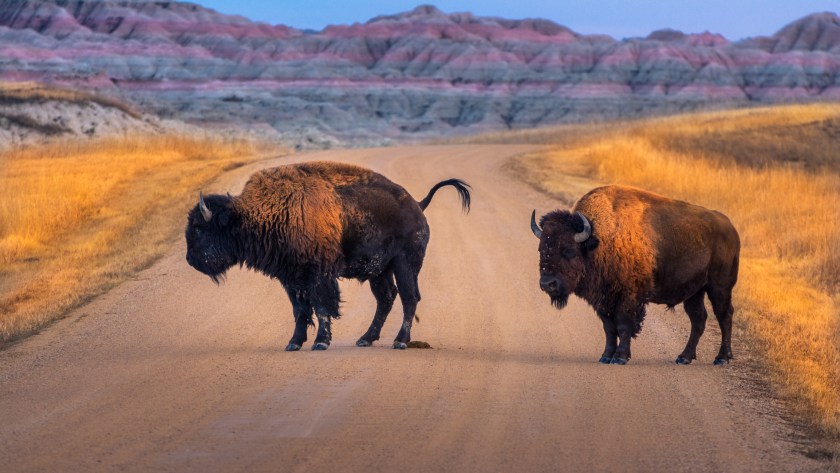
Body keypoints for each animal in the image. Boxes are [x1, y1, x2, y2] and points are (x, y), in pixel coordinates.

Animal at [185, 160, 472, 348]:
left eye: (199, 227)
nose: (189, 259)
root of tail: (417, 205)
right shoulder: (291, 277)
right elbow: (300, 310)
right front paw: (294, 343)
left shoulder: (318, 274)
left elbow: (322, 306)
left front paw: (320, 342)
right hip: (380, 271)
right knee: (386, 298)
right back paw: (365, 339)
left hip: (405, 265)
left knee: (409, 298)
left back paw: (400, 341)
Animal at [532, 184, 740, 366]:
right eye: (541, 249)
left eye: (569, 251)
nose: (547, 283)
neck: (599, 240)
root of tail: (731, 228)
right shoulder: (604, 300)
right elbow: (609, 328)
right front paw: (606, 356)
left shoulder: (628, 298)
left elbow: (624, 325)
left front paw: (620, 358)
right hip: (694, 292)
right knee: (699, 319)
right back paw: (684, 357)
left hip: (719, 287)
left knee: (724, 315)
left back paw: (722, 358)